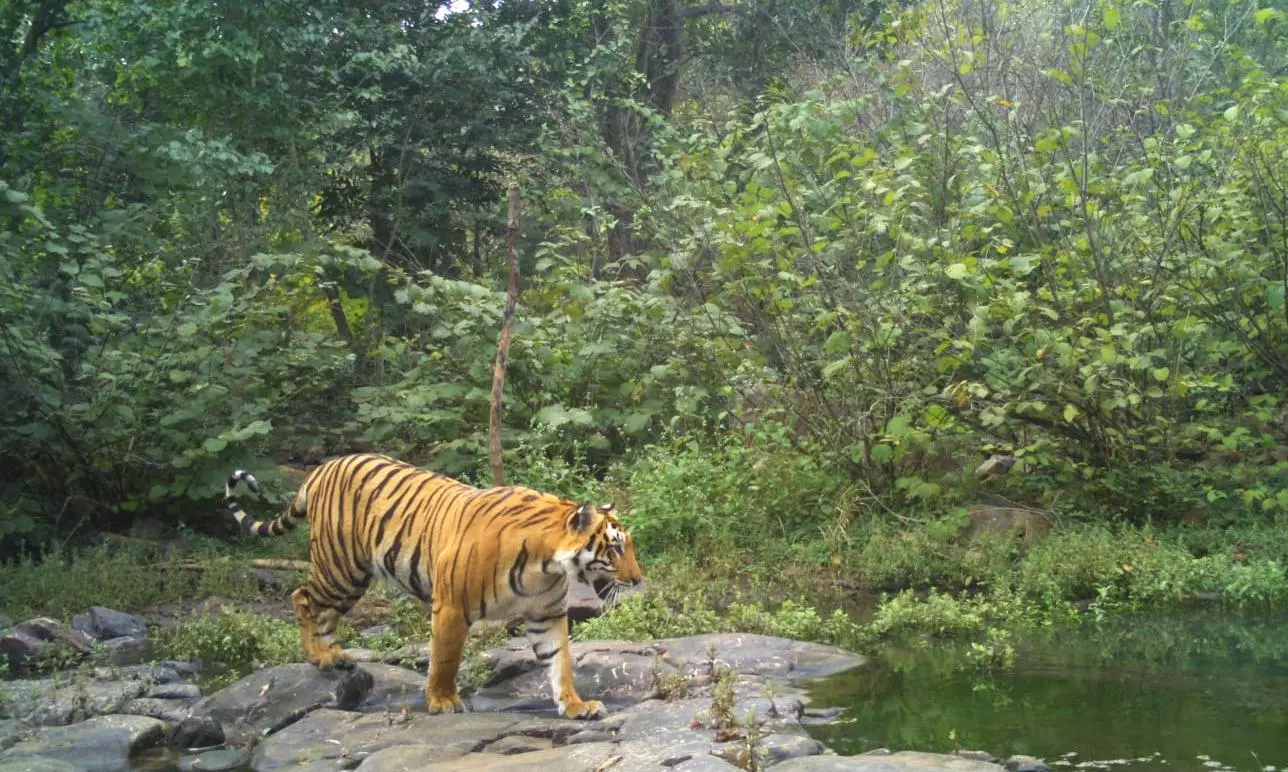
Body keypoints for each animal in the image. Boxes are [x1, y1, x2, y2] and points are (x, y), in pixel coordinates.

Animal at [223, 452, 643, 719]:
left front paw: (575, 706)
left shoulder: (547, 614)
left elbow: (560, 664)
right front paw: (441, 701)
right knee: (302, 597)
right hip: (337, 566)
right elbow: (444, 659)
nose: (639, 579)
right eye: (616, 547)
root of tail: (322, 467)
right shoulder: (452, 606)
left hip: (354, 578)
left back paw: (336, 654)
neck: (547, 565)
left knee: (326, 614)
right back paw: (318, 656)